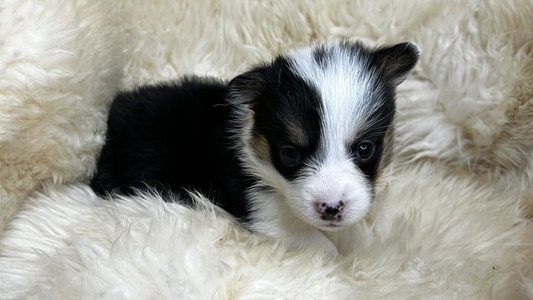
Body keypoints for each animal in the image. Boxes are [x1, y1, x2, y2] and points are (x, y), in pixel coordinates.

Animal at [90, 40, 420, 255]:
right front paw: (338, 251)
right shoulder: (260, 209)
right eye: (289, 154)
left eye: (365, 149)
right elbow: (319, 244)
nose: (331, 208)